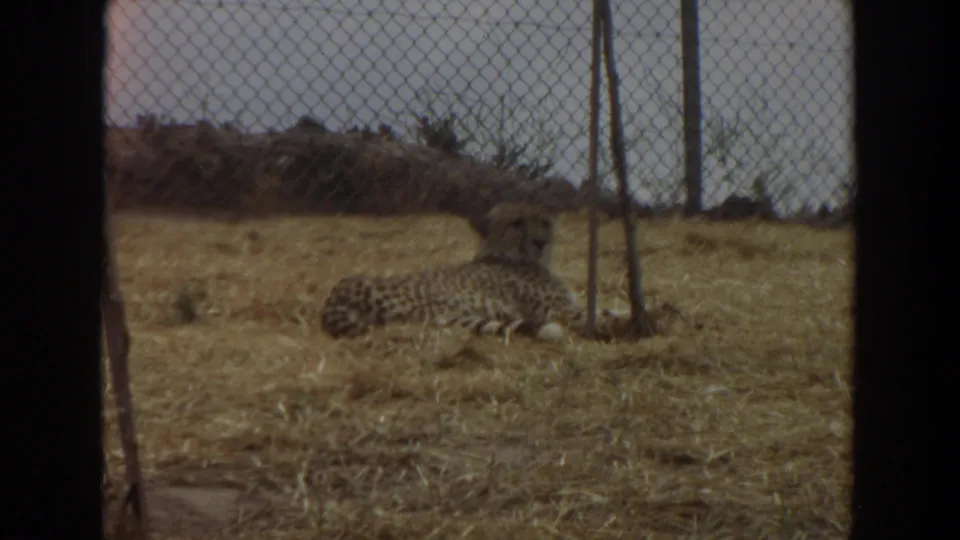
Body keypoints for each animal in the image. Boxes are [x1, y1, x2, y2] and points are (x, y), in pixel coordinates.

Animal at [319, 202, 630, 342]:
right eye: (517, 223)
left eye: (543, 221)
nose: (541, 242)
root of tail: (338, 292)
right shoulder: (559, 309)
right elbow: (596, 313)